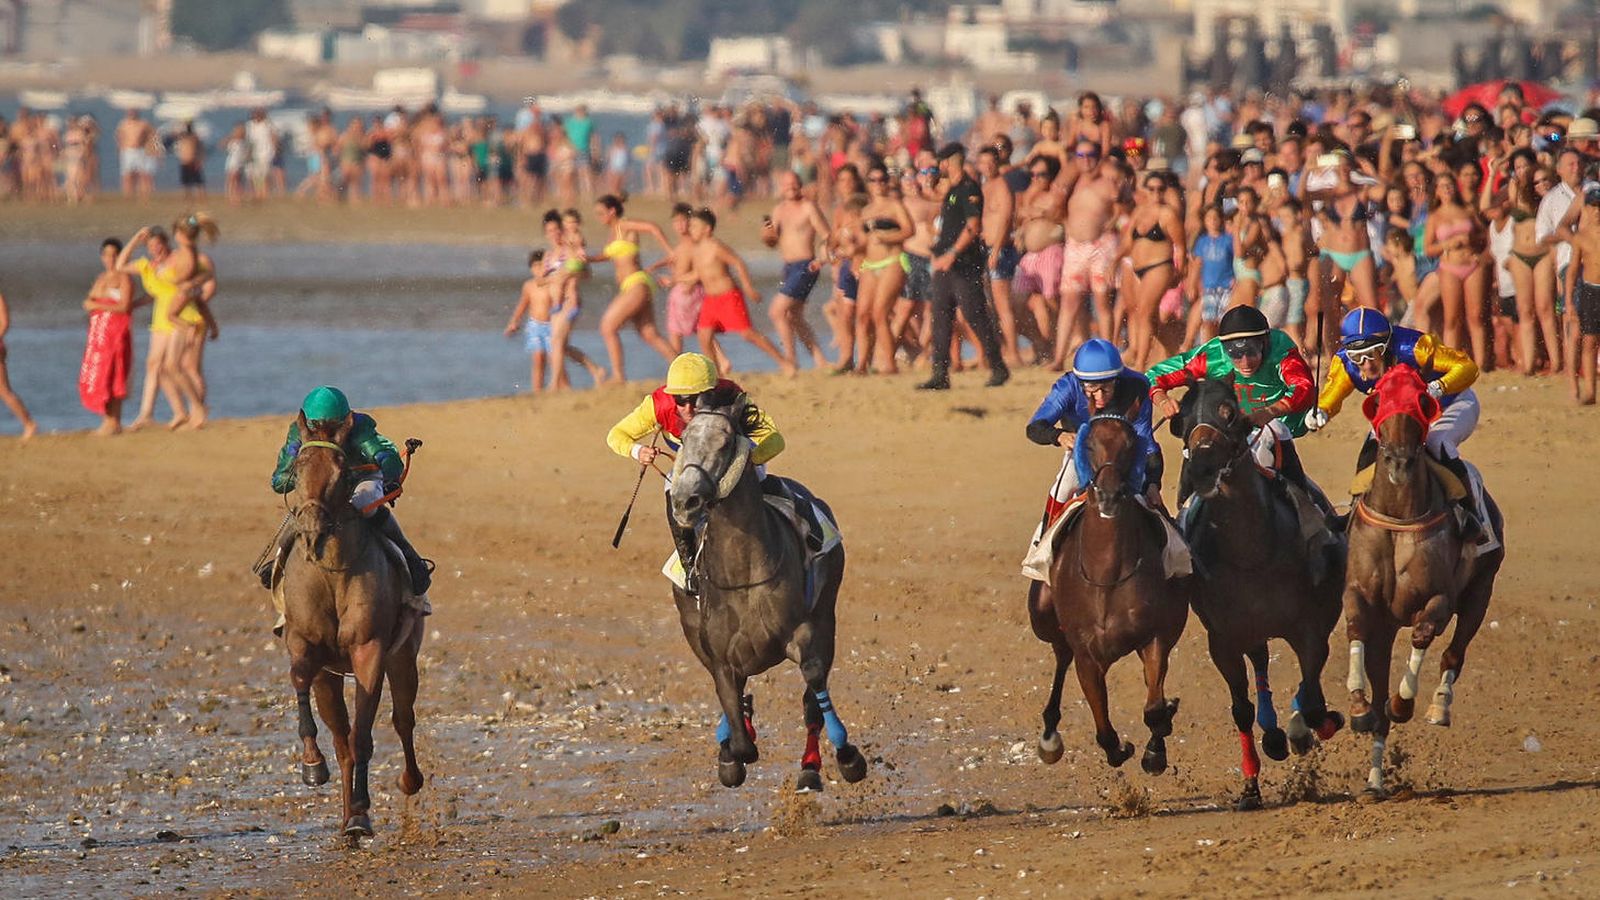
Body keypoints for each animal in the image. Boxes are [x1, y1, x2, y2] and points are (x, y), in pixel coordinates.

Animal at [280, 412, 426, 837]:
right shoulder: (303, 644)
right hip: (329, 678)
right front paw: (312, 766)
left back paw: (404, 784)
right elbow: (300, 678)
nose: (312, 525)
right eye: (297, 467)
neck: (331, 572)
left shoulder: (369, 648)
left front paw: (362, 812)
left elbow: (364, 734)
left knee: (402, 720)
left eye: (342, 469)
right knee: (341, 741)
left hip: (404, 656)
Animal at [668, 398, 867, 791]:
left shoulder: (804, 632)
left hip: (827, 613)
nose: (685, 500)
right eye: (682, 439)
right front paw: (730, 752)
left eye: (725, 441)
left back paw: (810, 767)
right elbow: (739, 735)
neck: (742, 573)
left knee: (811, 700)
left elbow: (813, 682)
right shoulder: (719, 657)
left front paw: (848, 757)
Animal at [1027, 414, 1189, 774]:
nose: (1109, 495)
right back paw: (1049, 736)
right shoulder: (1087, 654)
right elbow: (1103, 728)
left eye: (1130, 444)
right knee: (1060, 655)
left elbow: (1154, 707)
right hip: (1042, 616)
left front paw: (1154, 751)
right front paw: (1120, 747)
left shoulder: (1155, 638)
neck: (1107, 575)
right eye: (1087, 444)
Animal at [1174, 375, 1346, 810]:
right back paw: (1272, 735)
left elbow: (1315, 702)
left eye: (1230, 413)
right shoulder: (1224, 638)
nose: (1201, 469)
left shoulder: (1311, 628)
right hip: (1251, 631)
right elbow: (1241, 707)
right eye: (1181, 418)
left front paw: (1315, 726)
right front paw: (1250, 786)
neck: (1252, 551)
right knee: (1262, 663)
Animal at [1343, 365, 1503, 799]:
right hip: (1387, 629)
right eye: (1379, 400)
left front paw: (1405, 703)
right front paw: (1359, 706)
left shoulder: (1439, 599)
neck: (1399, 514)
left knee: (1453, 653)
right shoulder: (1363, 599)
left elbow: (1423, 634)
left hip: (1481, 590)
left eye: (1421, 400)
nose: (1398, 464)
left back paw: (1439, 705)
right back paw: (1374, 780)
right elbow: (1355, 627)